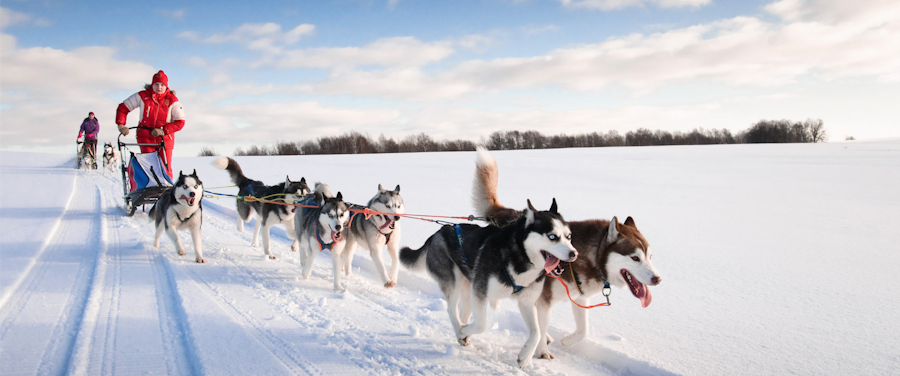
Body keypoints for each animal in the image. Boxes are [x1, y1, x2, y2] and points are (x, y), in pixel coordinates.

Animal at [400, 198, 576, 368]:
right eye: (552, 237)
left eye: (569, 237)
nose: (574, 253)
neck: (520, 256)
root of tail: (437, 233)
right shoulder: (480, 293)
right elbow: (482, 325)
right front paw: (464, 331)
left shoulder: (526, 302)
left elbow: (537, 332)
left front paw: (525, 356)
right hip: (454, 282)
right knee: (452, 310)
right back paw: (461, 330)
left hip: (468, 288)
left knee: (463, 311)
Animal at [472, 146, 660, 358]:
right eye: (635, 258)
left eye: (650, 257)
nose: (657, 279)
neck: (589, 258)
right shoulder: (544, 301)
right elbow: (541, 326)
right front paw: (542, 352)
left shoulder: (580, 298)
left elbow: (583, 331)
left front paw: (566, 341)